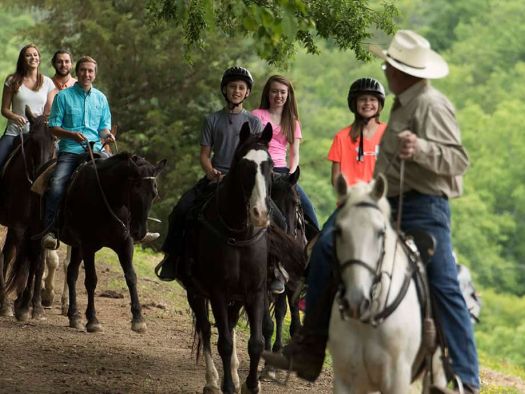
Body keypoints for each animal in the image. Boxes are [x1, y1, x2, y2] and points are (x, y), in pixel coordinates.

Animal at [0, 107, 55, 318]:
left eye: (55, 139)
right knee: (10, 255)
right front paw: (11, 305)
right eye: (33, 139)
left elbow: (37, 263)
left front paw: (33, 306)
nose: (42, 171)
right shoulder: (19, 226)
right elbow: (17, 258)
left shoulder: (39, 230)